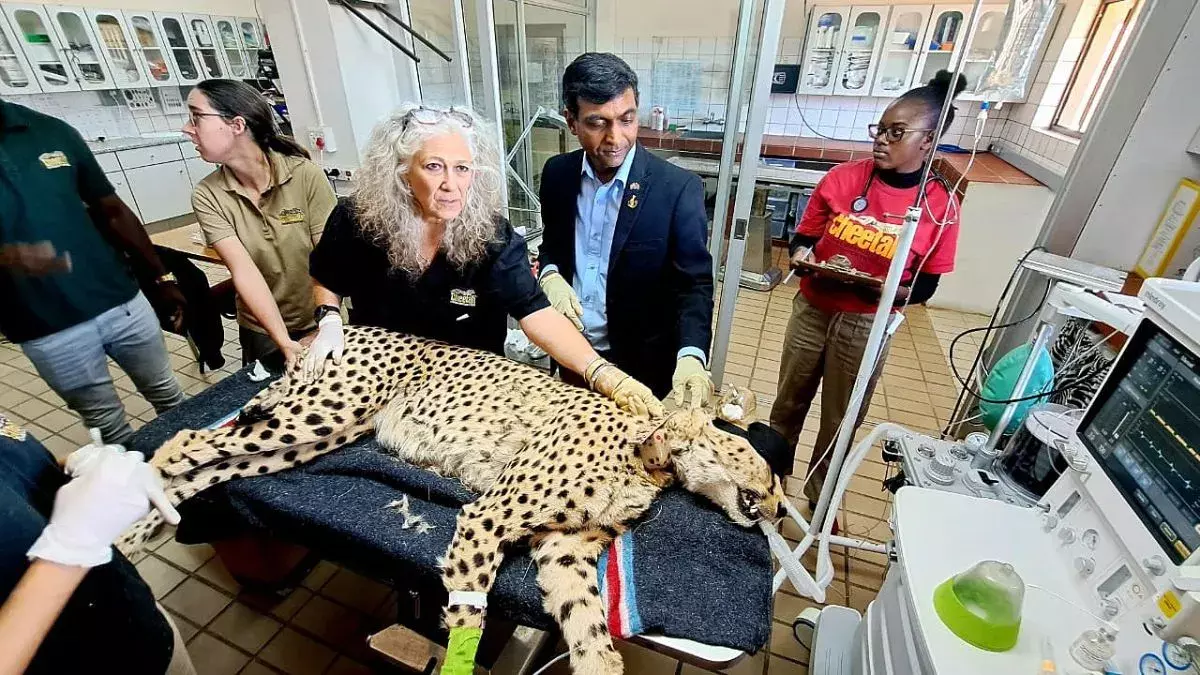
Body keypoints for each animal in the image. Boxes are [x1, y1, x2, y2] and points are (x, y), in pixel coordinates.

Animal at [116, 325, 788, 675]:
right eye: (769, 470)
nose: (781, 508)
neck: (652, 460)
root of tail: (345, 326)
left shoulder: (563, 551)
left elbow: (590, 630)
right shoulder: (488, 517)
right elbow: (468, 617)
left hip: (318, 437)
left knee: (213, 466)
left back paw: (130, 536)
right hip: (317, 414)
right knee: (186, 441)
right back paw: (117, 523)